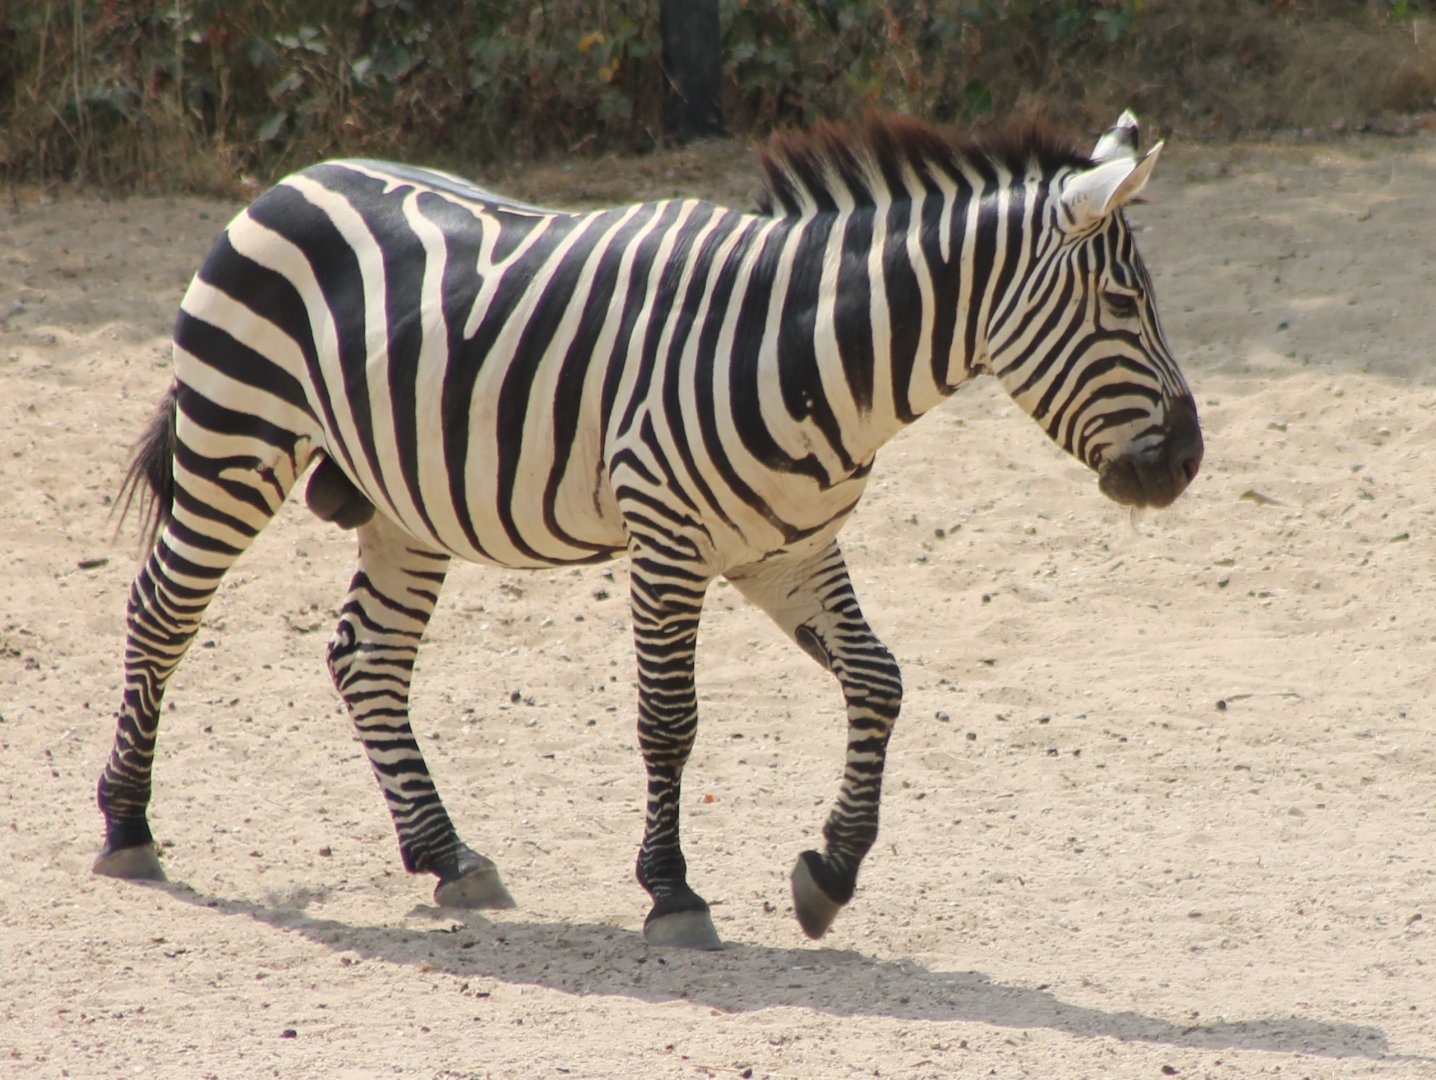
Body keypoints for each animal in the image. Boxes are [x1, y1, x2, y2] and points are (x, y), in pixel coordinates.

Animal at [95, 111, 1202, 949]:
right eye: (1122, 302)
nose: (1188, 461)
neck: (813, 357)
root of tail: (293, 178)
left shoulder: (788, 550)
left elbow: (879, 682)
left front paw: (829, 870)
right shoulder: (669, 541)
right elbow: (669, 720)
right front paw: (672, 893)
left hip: (401, 501)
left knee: (366, 658)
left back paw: (446, 854)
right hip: (234, 440)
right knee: (160, 613)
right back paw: (127, 825)